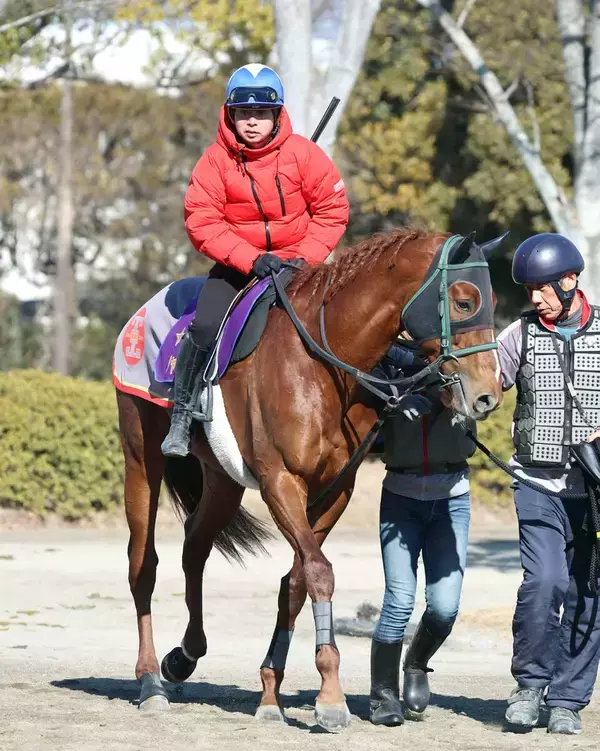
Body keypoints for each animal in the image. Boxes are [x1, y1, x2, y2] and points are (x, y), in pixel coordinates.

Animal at [115, 227, 504, 729]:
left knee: (194, 547)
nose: (488, 395)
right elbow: (318, 572)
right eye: (464, 301)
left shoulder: (335, 489)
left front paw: (271, 692)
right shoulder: (282, 482)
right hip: (141, 458)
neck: (322, 363)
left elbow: (296, 581)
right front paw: (331, 697)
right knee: (143, 564)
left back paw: (184, 656)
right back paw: (149, 681)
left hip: (222, 479)